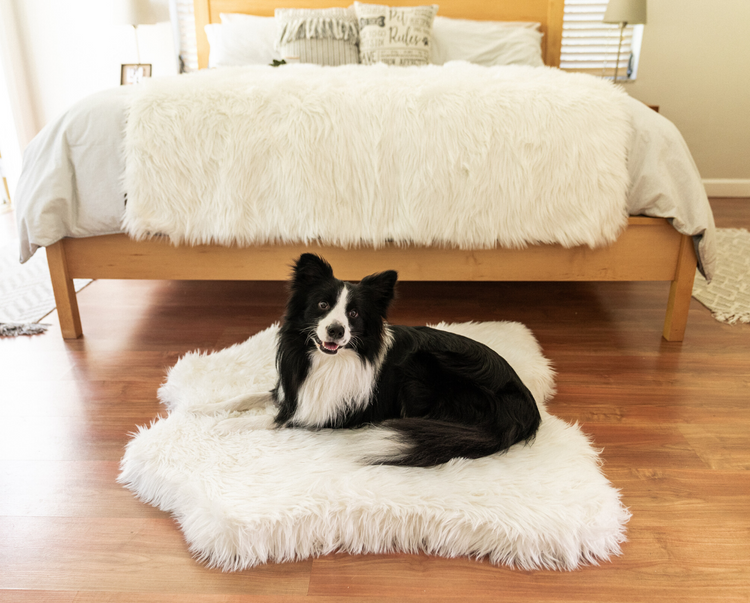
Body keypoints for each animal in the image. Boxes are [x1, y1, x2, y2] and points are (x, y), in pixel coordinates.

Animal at [272, 254, 540, 468]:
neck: (331, 360)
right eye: (322, 304)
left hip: (420, 366)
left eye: (354, 313)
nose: (336, 331)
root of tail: (526, 407)